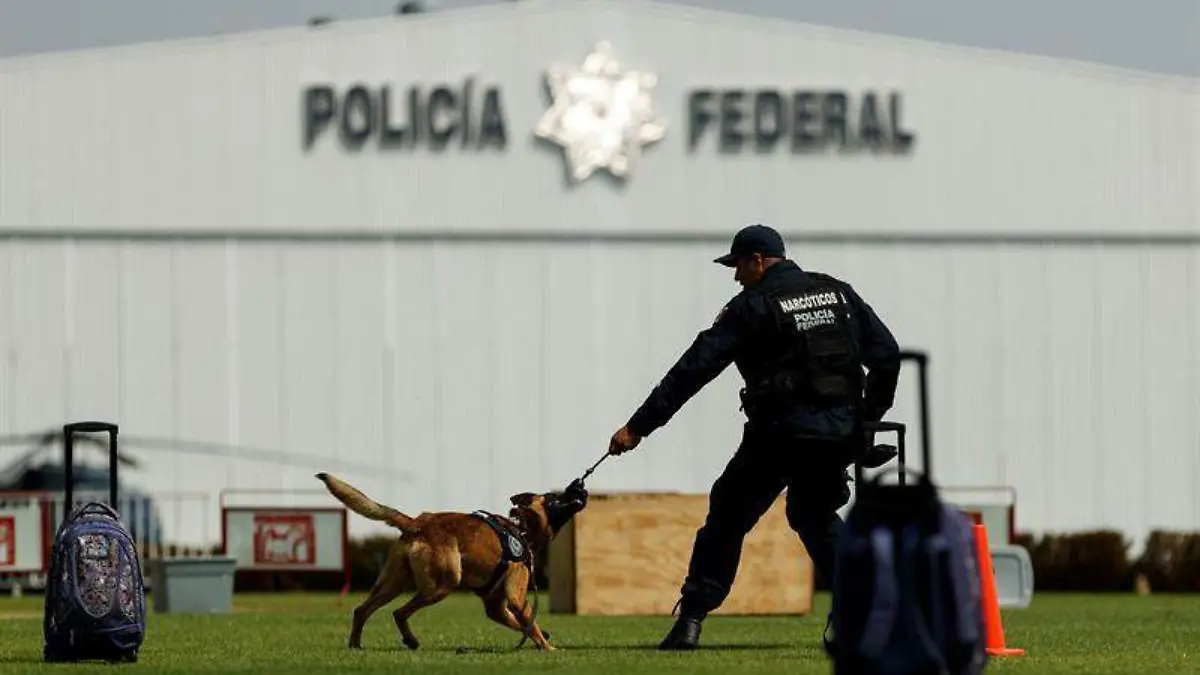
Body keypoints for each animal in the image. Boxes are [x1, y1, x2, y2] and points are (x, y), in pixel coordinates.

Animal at [314, 470, 585, 648]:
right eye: (553, 498)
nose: (580, 486)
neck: (522, 529)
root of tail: (417, 522)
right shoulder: (517, 599)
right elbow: (531, 624)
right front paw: (549, 649)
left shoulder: (495, 607)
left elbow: (524, 626)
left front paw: (543, 639)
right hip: (443, 583)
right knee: (399, 612)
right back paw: (410, 640)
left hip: (393, 584)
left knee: (362, 610)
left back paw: (355, 646)